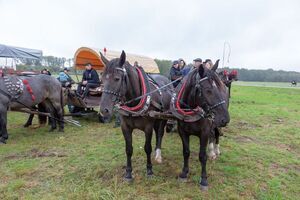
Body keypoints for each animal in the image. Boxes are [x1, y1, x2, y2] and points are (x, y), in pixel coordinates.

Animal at [99, 51, 173, 180]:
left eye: (117, 79)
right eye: (102, 78)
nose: (104, 110)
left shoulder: (148, 127)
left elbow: (147, 148)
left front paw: (149, 170)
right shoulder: (125, 127)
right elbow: (128, 149)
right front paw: (128, 173)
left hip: (163, 117)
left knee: (159, 134)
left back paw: (158, 155)